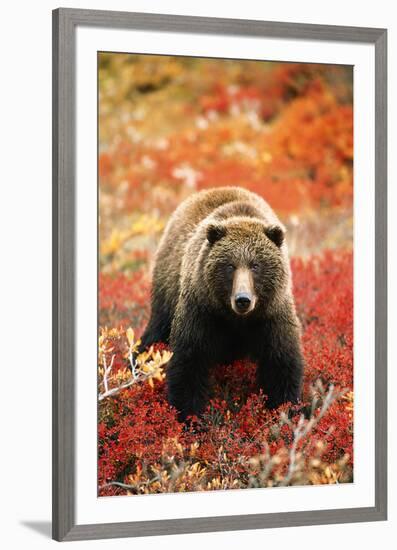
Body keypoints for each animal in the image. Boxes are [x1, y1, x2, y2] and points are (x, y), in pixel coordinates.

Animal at [139, 188, 304, 420]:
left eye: (255, 265)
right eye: (230, 265)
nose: (243, 299)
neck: (236, 320)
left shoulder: (272, 316)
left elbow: (281, 364)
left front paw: (284, 411)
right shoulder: (202, 311)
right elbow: (189, 362)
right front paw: (190, 417)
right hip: (167, 290)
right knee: (155, 333)